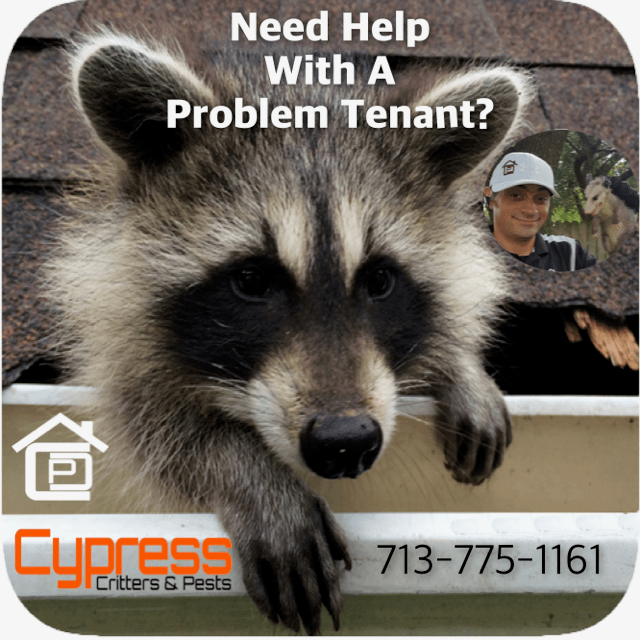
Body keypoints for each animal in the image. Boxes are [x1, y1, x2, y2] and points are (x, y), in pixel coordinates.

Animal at [46, 31, 530, 634]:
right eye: (252, 280)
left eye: (380, 280)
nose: (346, 442)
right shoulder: (117, 320)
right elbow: (152, 419)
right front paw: (250, 475)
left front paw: (459, 364)